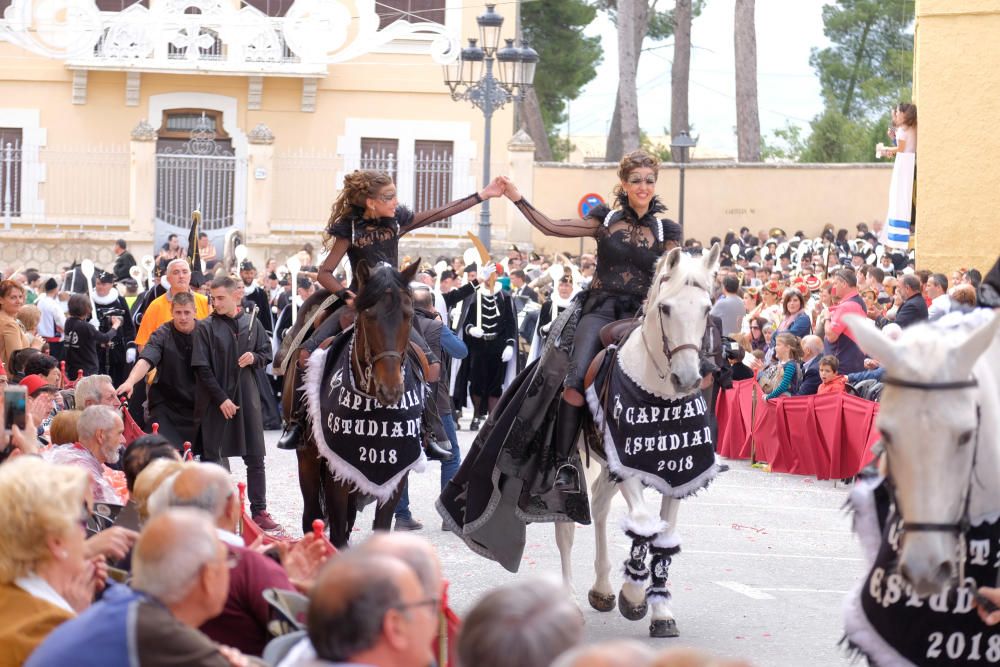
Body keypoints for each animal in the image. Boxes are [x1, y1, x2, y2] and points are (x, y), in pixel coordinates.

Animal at [556, 244, 720, 636]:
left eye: (707, 308)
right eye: (666, 307)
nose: (687, 378)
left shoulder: (679, 472)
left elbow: (664, 535)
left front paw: (660, 611)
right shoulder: (627, 464)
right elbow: (644, 522)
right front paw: (633, 595)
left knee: (600, 506)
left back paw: (601, 588)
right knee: (566, 526)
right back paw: (570, 599)